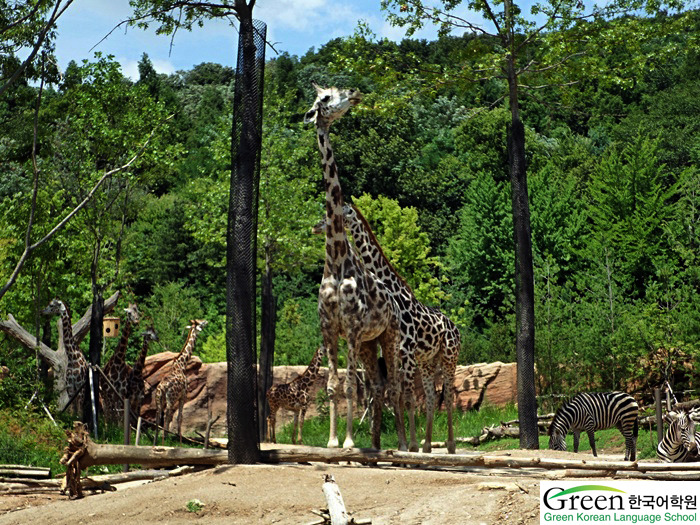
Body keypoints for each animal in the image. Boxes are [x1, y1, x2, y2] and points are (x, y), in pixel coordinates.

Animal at [304, 86, 408, 450]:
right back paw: (375, 444)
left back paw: (401, 444)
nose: (354, 93)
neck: (336, 261)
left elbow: (349, 386)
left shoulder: (349, 326)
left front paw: (349, 442)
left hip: (390, 336)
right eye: (324, 98)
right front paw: (333, 441)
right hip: (367, 343)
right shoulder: (328, 328)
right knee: (378, 385)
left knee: (396, 386)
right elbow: (333, 386)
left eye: (333, 93)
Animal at [342, 203, 462, 452]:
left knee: (449, 394)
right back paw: (428, 445)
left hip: (449, 358)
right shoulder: (397, 353)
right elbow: (397, 395)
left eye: (344, 212)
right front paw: (405, 444)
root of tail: (456, 329)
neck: (394, 292)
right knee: (431, 396)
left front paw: (410, 445)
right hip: (427, 362)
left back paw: (450, 445)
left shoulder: (406, 352)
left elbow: (407, 397)